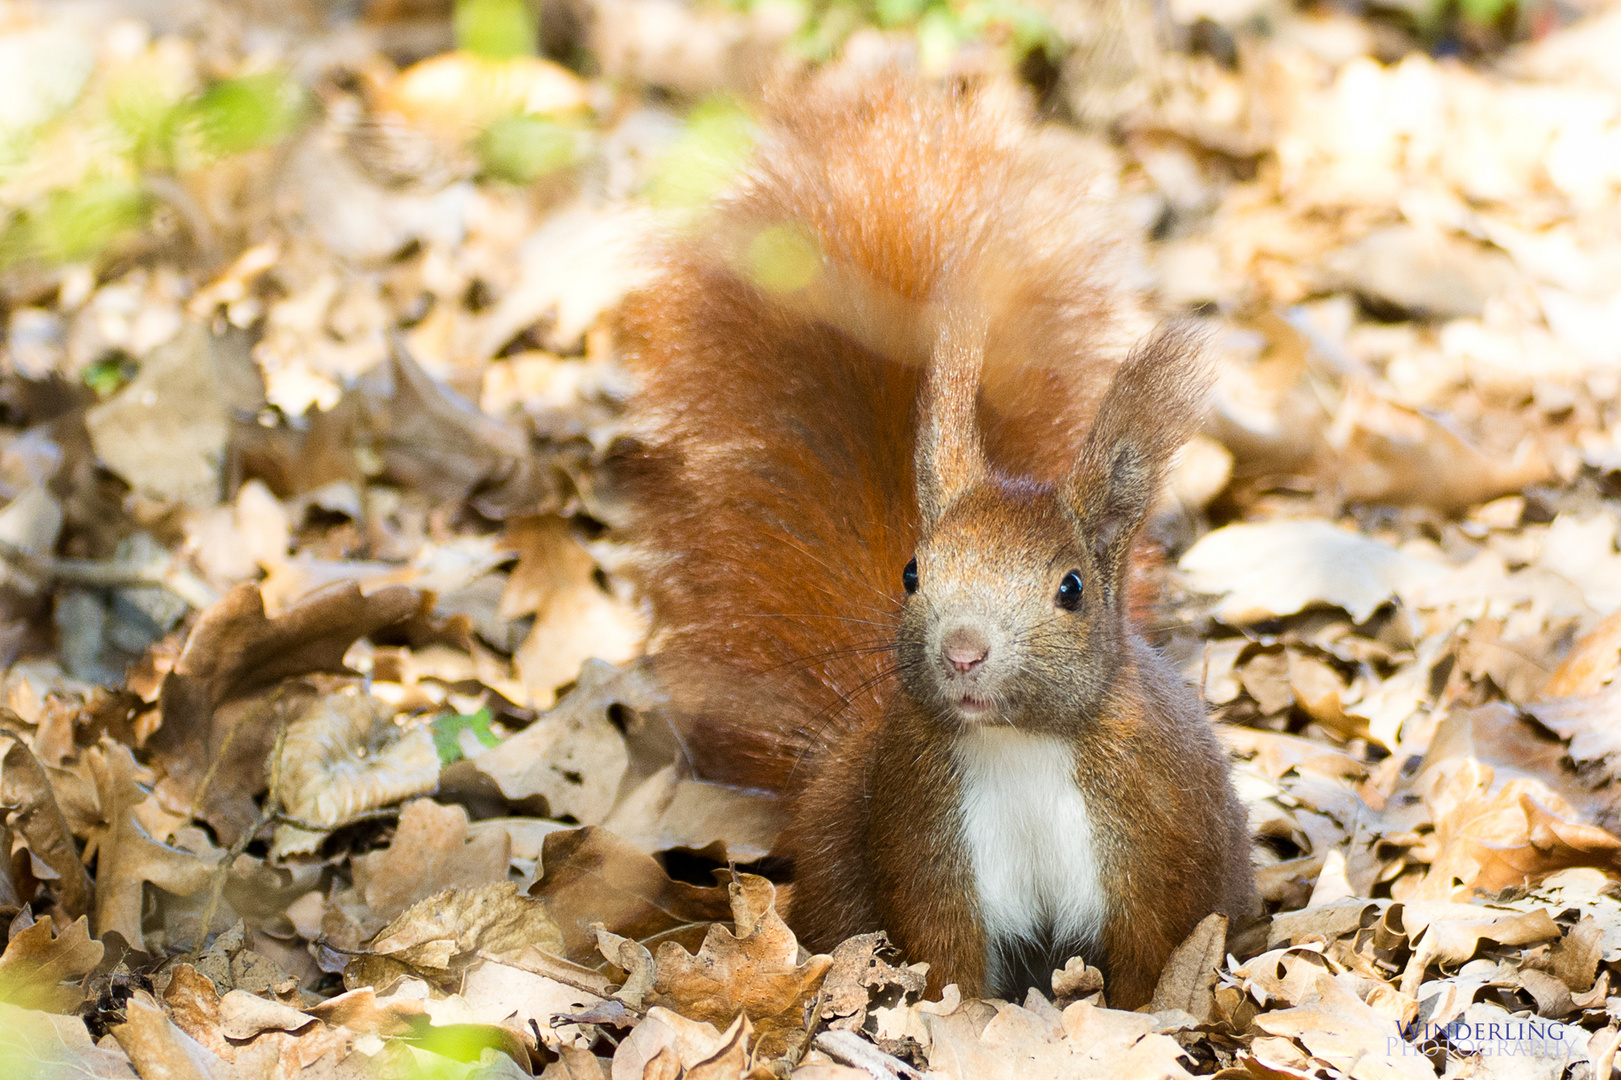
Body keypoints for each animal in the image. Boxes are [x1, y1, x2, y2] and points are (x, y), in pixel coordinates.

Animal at [609, 73, 1251, 998]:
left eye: (1071, 588)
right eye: (912, 573)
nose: (962, 651)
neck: (1019, 745)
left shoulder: (1153, 845)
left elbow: (1150, 965)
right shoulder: (925, 836)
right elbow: (948, 967)